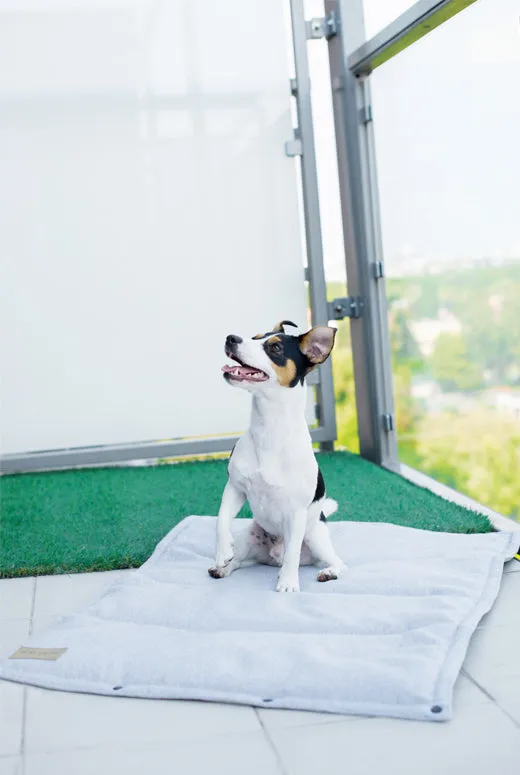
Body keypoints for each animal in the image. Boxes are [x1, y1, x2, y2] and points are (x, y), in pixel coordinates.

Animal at [207, 322, 346, 596]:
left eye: (276, 348)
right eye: (254, 337)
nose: (231, 338)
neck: (268, 428)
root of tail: (272, 557)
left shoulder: (296, 512)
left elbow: (292, 553)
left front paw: (288, 583)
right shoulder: (235, 488)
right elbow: (221, 519)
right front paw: (221, 552)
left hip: (315, 536)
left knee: (336, 561)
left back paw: (326, 572)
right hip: (249, 538)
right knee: (239, 560)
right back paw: (223, 568)